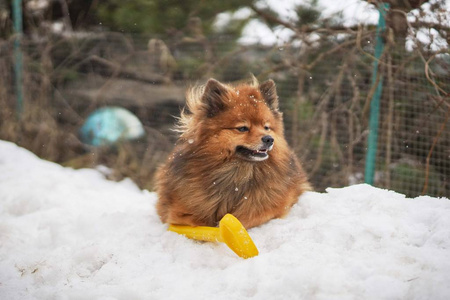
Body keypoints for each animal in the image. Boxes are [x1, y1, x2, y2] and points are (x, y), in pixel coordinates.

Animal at [155, 78, 310, 230]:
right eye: (242, 128)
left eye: (266, 127)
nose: (269, 139)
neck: (237, 173)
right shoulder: (180, 212)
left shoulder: (268, 210)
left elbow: (250, 218)